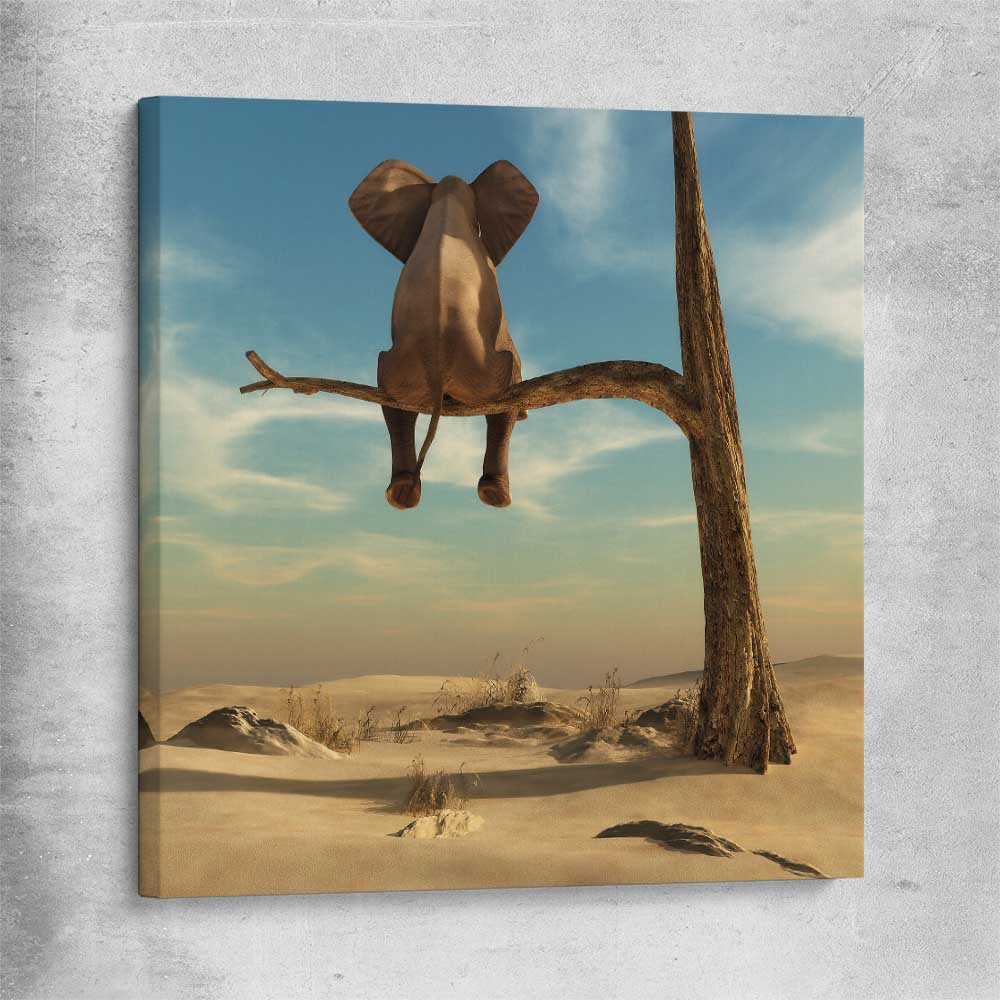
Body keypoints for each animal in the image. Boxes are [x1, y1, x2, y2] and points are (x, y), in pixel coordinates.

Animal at [349, 159, 539, 510]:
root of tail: (437, 363)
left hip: (401, 370)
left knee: (392, 401)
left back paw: (401, 494)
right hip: (484, 371)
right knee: (504, 395)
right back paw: (495, 496)